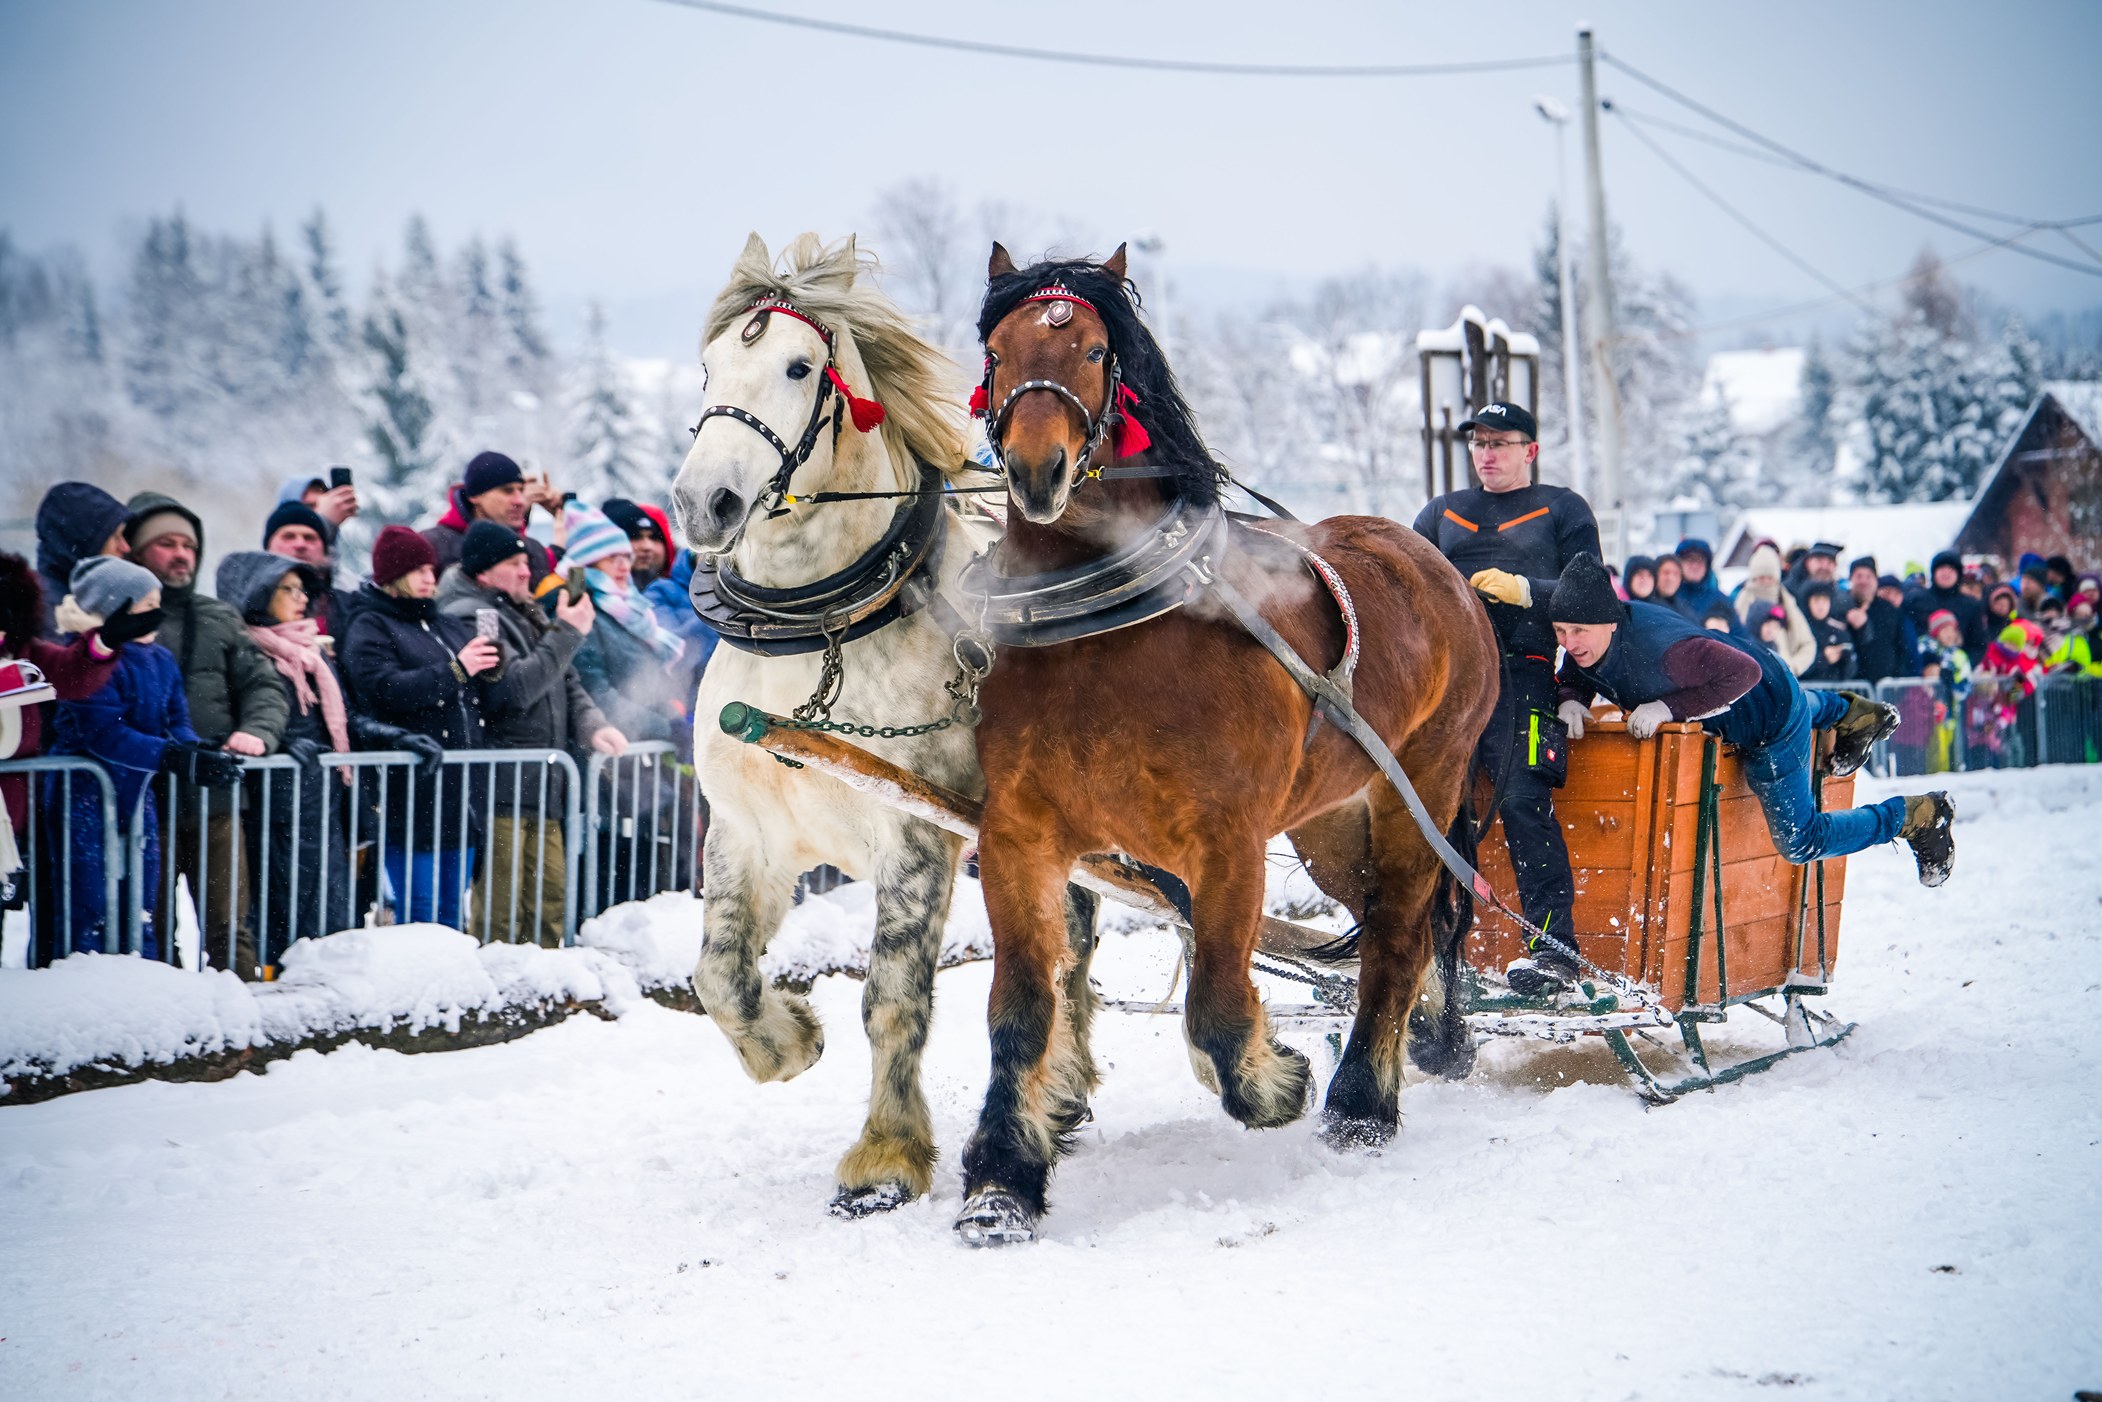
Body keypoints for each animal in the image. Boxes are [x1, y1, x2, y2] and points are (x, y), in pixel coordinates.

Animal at [670, 232, 1097, 1218]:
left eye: (798, 367)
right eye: (708, 366)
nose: (703, 502)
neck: (819, 632)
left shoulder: (915, 839)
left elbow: (894, 997)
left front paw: (885, 1156)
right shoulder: (745, 831)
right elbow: (718, 975)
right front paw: (787, 1041)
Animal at [953, 243, 1500, 1244]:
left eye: (1095, 351)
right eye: (996, 351)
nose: (1038, 470)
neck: (1108, 633)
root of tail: (1439, 566)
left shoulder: (1227, 843)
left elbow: (1212, 1003)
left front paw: (1275, 1078)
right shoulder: (1019, 837)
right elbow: (1020, 1007)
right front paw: (1003, 1179)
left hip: (1424, 785)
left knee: (1399, 933)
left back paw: (1363, 1103)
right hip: (1333, 820)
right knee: (1379, 922)